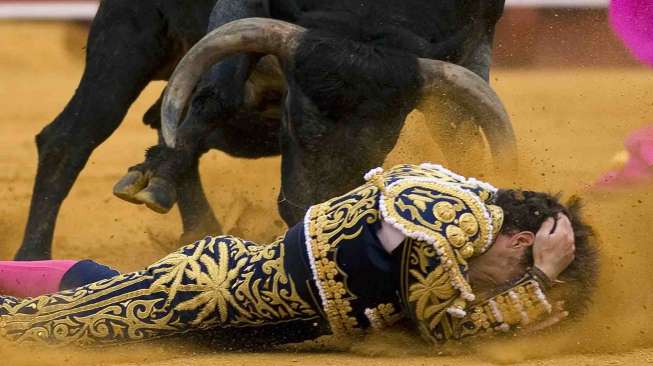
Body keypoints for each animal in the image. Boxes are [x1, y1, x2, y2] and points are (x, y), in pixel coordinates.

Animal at [15, 0, 516, 260]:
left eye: (385, 140)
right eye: (294, 121)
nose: (309, 215)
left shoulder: (475, 37)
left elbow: (460, 134)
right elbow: (215, 93)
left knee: (158, 118)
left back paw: (196, 226)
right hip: (126, 38)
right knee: (69, 138)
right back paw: (32, 258)